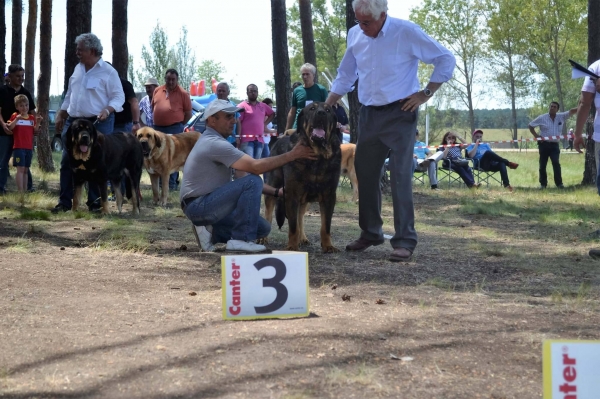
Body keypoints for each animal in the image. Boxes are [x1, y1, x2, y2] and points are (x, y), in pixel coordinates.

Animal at [264, 102, 340, 253]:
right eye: (312, 108)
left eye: (328, 110)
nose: (321, 113)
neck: (317, 156)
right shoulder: (292, 194)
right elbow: (293, 226)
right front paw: (292, 247)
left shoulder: (329, 196)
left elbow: (326, 225)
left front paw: (328, 245)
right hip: (273, 187)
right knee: (268, 213)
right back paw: (263, 238)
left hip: (306, 200)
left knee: (300, 216)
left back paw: (302, 238)